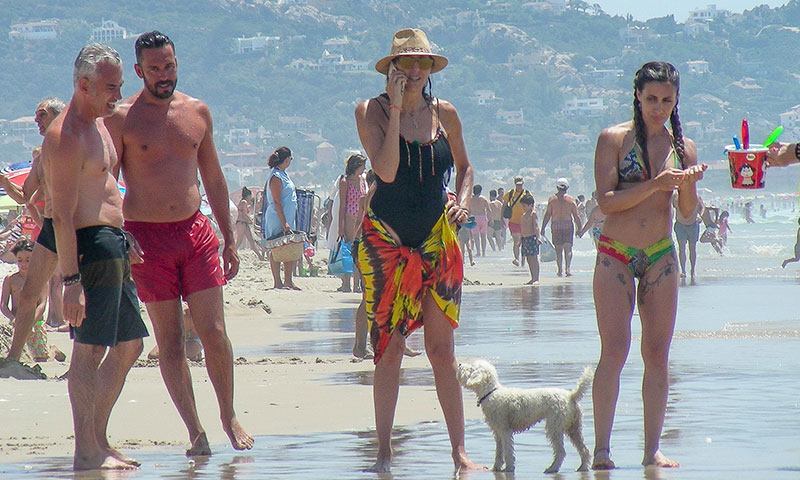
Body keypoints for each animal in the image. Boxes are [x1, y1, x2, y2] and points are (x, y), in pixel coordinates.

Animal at [456, 360, 592, 472]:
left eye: (471, 368)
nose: (459, 364)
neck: (491, 392)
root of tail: (571, 396)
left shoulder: (505, 431)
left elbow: (508, 451)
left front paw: (509, 468)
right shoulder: (497, 432)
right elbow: (499, 453)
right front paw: (495, 468)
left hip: (555, 427)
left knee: (561, 452)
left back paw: (552, 468)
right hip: (573, 428)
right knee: (584, 449)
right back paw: (583, 467)